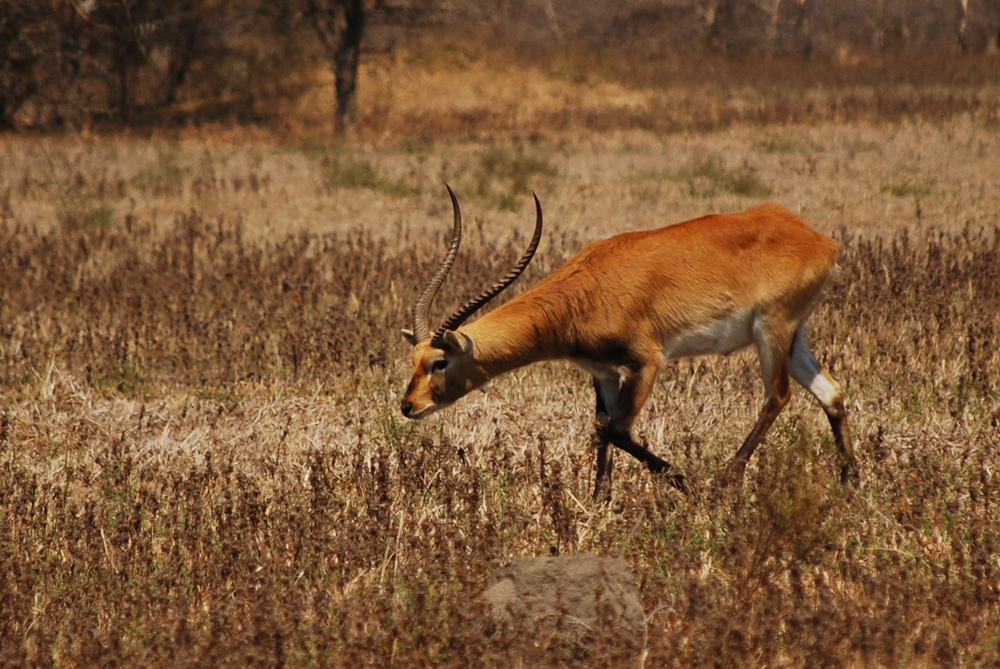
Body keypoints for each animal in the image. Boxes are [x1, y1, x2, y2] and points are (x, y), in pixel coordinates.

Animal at [398, 185, 860, 498]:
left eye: (440, 362)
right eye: (413, 360)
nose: (408, 406)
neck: (585, 292)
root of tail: (820, 239)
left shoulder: (646, 362)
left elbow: (619, 430)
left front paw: (687, 483)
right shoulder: (602, 373)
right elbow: (601, 429)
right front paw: (599, 501)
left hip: (773, 329)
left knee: (778, 395)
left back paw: (725, 481)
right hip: (795, 335)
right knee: (831, 391)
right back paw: (850, 481)